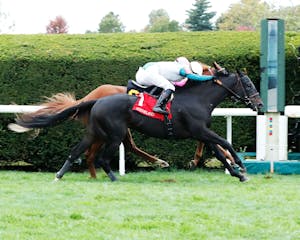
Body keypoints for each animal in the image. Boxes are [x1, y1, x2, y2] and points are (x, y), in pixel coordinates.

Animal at [14, 70, 262, 181]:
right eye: (249, 84)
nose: (259, 104)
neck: (198, 99)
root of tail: (95, 99)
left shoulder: (201, 132)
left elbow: (218, 151)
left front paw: (237, 172)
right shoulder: (200, 130)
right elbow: (224, 143)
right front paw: (241, 165)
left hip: (95, 132)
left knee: (77, 151)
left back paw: (61, 175)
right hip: (115, 134)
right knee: (103, 157)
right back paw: (115, 177)